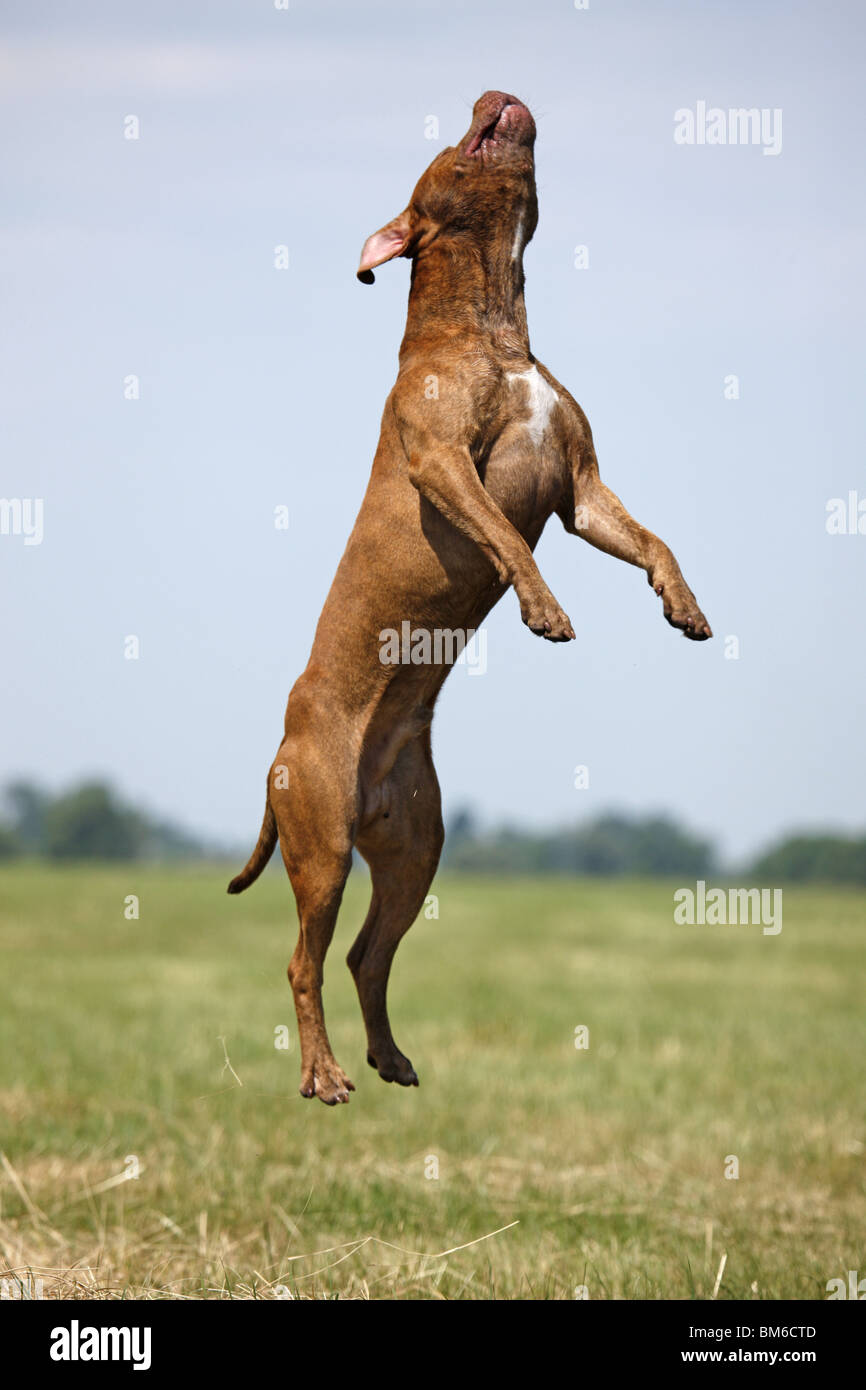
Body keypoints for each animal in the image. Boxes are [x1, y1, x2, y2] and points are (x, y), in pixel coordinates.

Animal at [230, 89, 711, 1106]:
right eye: (453, 146)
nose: (492, 95)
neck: (492, 323)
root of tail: (283, 750)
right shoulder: (447, 464)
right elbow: (504, 538)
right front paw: (546, 609)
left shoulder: (582, 488)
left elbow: (653, 537)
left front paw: (682, 603)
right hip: (321, 849)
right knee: (304, 961)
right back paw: (325, 1074)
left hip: (415, 850)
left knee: (367, 957)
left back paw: (388, 1056)